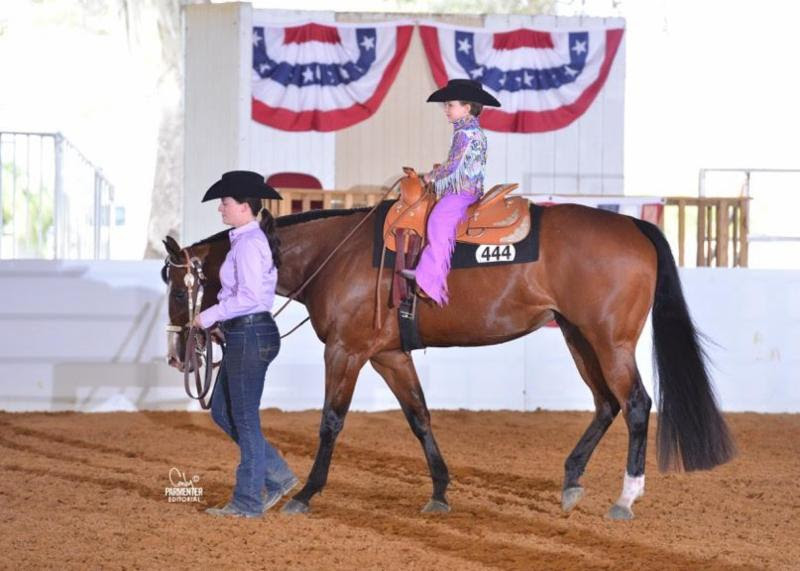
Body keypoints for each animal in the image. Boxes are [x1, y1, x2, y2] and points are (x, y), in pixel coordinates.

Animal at [164, 181, 736, 520]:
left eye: (176, 283)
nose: (178, 355)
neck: (336, 255)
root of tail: (634, 225)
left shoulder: (347, 352)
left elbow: (331, 421)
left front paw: (305, 494)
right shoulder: (389, 355)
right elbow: (419, 416)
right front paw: (439, 491)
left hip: (609, 340)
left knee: (636, 404)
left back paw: (625, 498)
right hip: (578, 337)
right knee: (606, 404)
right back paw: (572, 481)